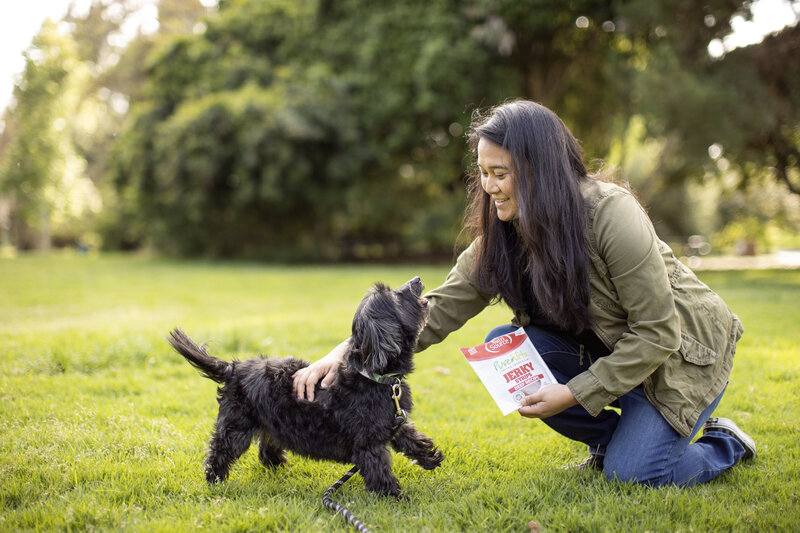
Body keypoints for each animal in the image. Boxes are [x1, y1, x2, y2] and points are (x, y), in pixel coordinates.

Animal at [169, 276, 444, 496]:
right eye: (394, 295)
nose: (417, 278)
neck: (371, 375)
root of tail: (234, 367)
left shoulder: (394, 421)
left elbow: (410, 436)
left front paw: (430, 457)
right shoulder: (369, 443)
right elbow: (379, 469)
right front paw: (394, 497)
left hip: (273, 420)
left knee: (266, 445)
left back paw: (278, 466)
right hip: (236, 426)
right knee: (219, 451)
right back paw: (215, 480)